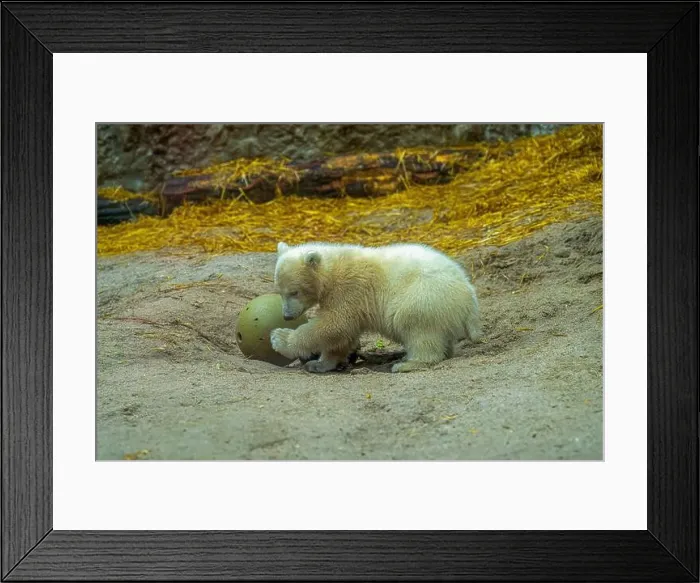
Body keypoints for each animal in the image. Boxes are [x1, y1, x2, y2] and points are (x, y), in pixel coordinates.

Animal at [270, 241, 481, 373]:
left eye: (294, 292)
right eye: (279, 291)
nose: (287, 316)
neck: (334, 267)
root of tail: (469, 298)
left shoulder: (350, 288)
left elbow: (335, 324)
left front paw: (280, 338)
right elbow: (341, 335)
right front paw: (320, 364)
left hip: (426, 296)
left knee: (416, 326)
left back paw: (407, 363)